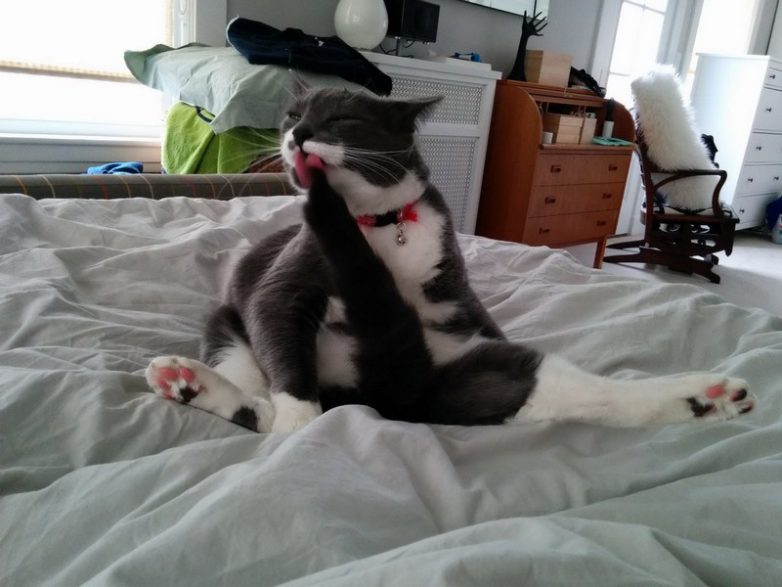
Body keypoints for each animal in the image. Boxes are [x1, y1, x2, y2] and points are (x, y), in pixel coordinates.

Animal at [146, 87, 755, 433]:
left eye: (339, 120)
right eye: (291, 115)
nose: (298, 134)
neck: (377, 225)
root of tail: (389, 395)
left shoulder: (452, 280)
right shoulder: (284, 283)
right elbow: (284, 352)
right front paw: (301, 422)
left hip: (481, 371)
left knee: (576, 392)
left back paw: (707, 398)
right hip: (227, 325)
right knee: (260, 403)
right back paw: (190, 381)